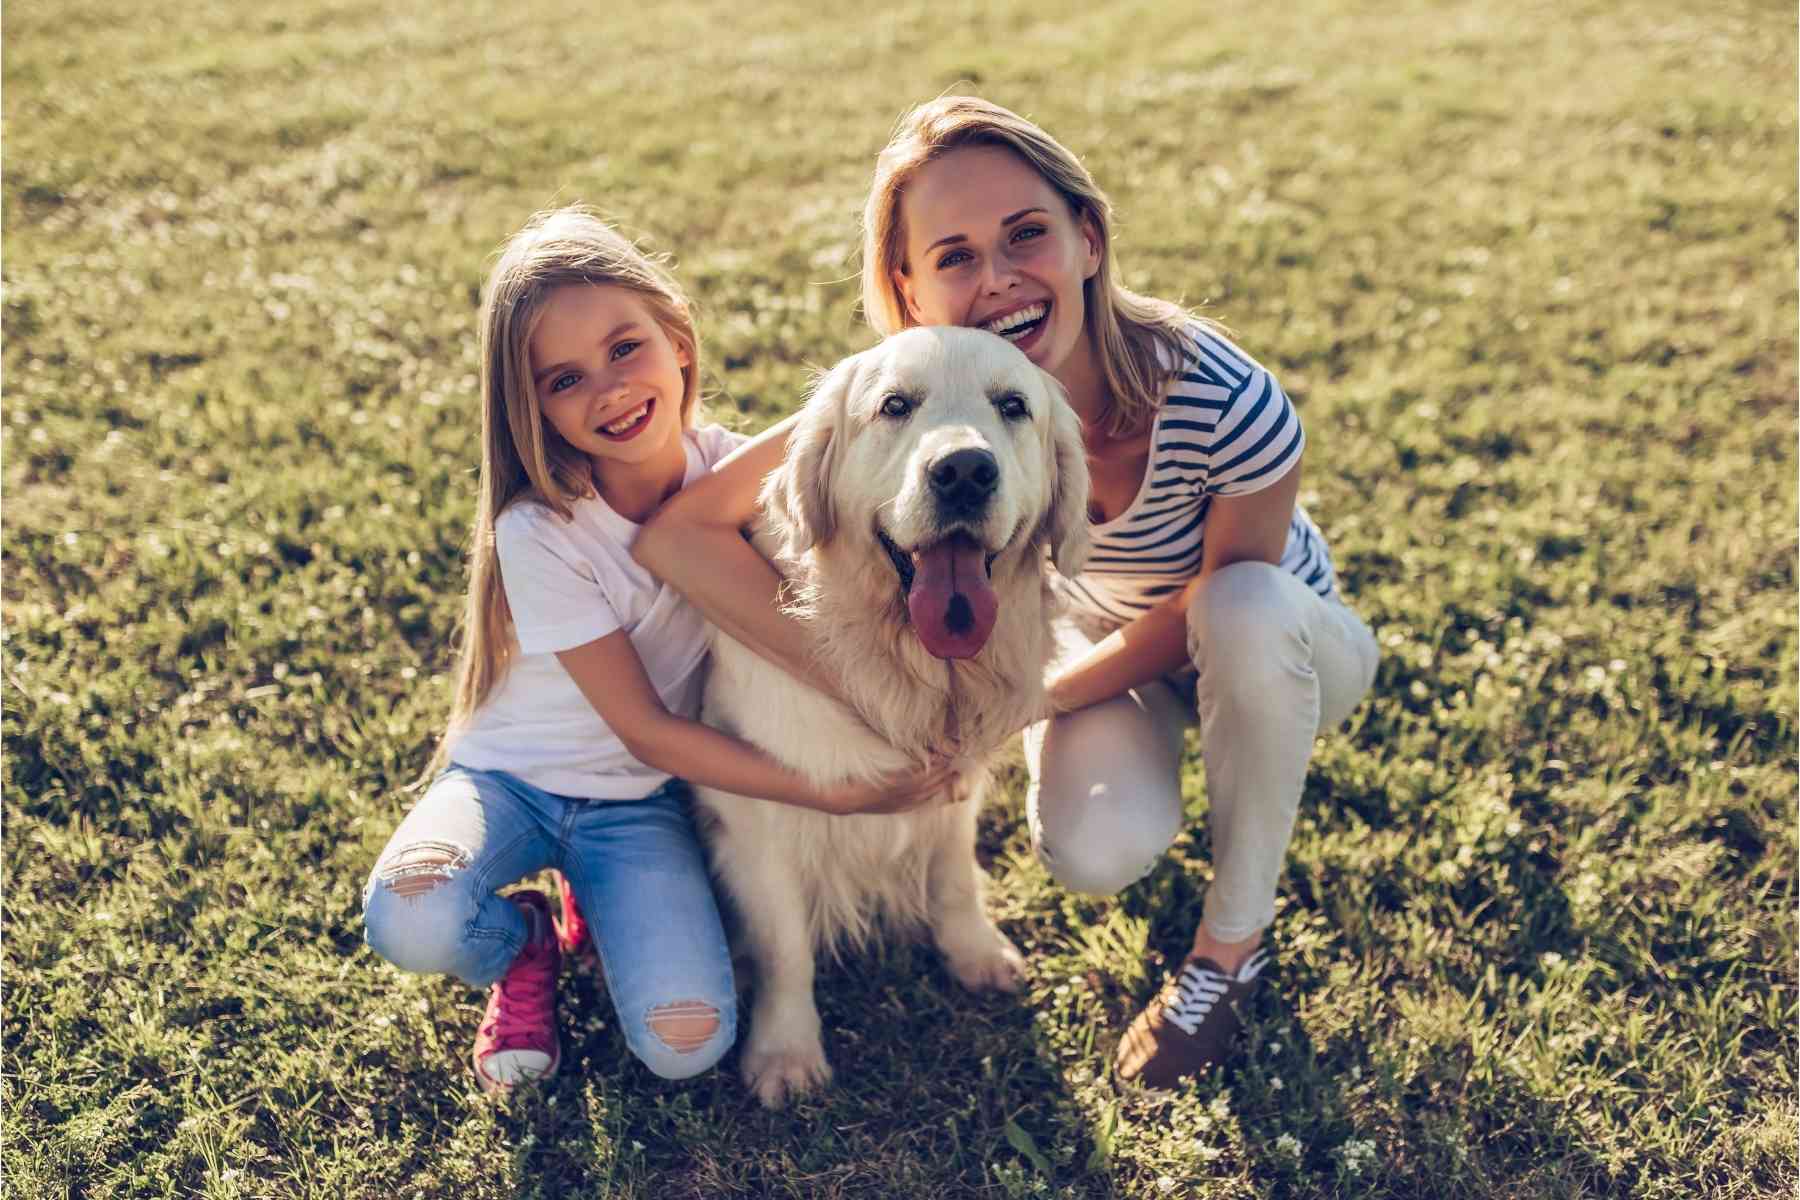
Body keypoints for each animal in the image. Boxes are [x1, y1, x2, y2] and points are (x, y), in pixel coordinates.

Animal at [691, 325, 1080, 1108]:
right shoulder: (756, 818)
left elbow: (954, 875)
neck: (906, 668)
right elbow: (785, 946)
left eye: (1013, 406)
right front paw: (786, 1051)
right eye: (895, 405)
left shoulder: (953, 789)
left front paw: (973, 952)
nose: (964, 472)